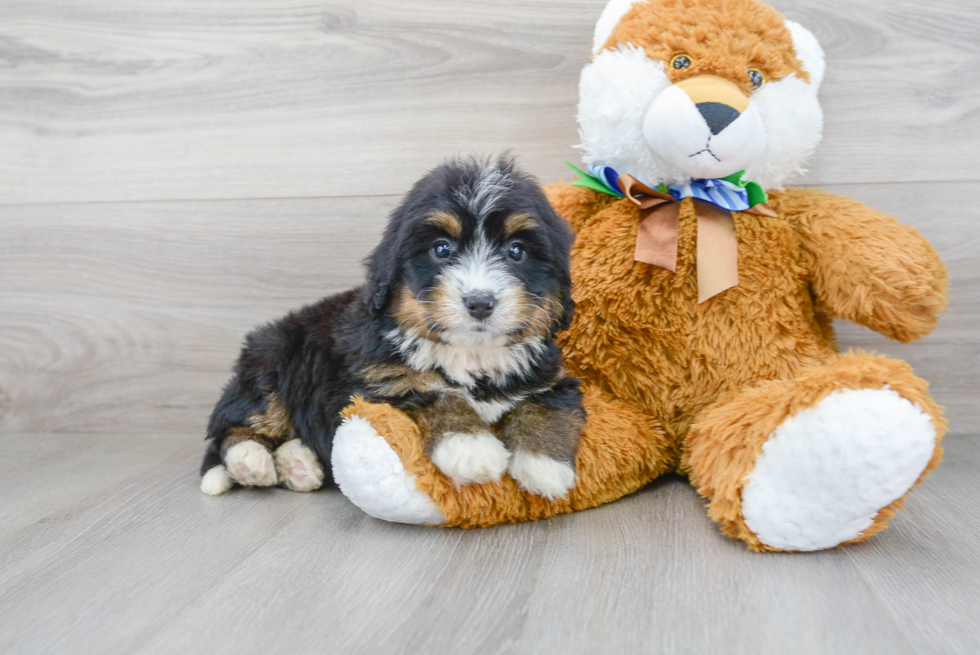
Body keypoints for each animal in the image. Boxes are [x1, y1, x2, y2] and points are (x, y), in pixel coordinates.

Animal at [195, 158, 584, 502]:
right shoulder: (377, 384)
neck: (469, 352)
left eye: (516, 251)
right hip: (271, 363)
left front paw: (544, 465)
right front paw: (471, 447)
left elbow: (546, 405)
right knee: (234, 428)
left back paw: (297, 465)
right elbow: (432, 392)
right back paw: (251, 461)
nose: (480, 302)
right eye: (441, 249)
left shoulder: (550, 376)